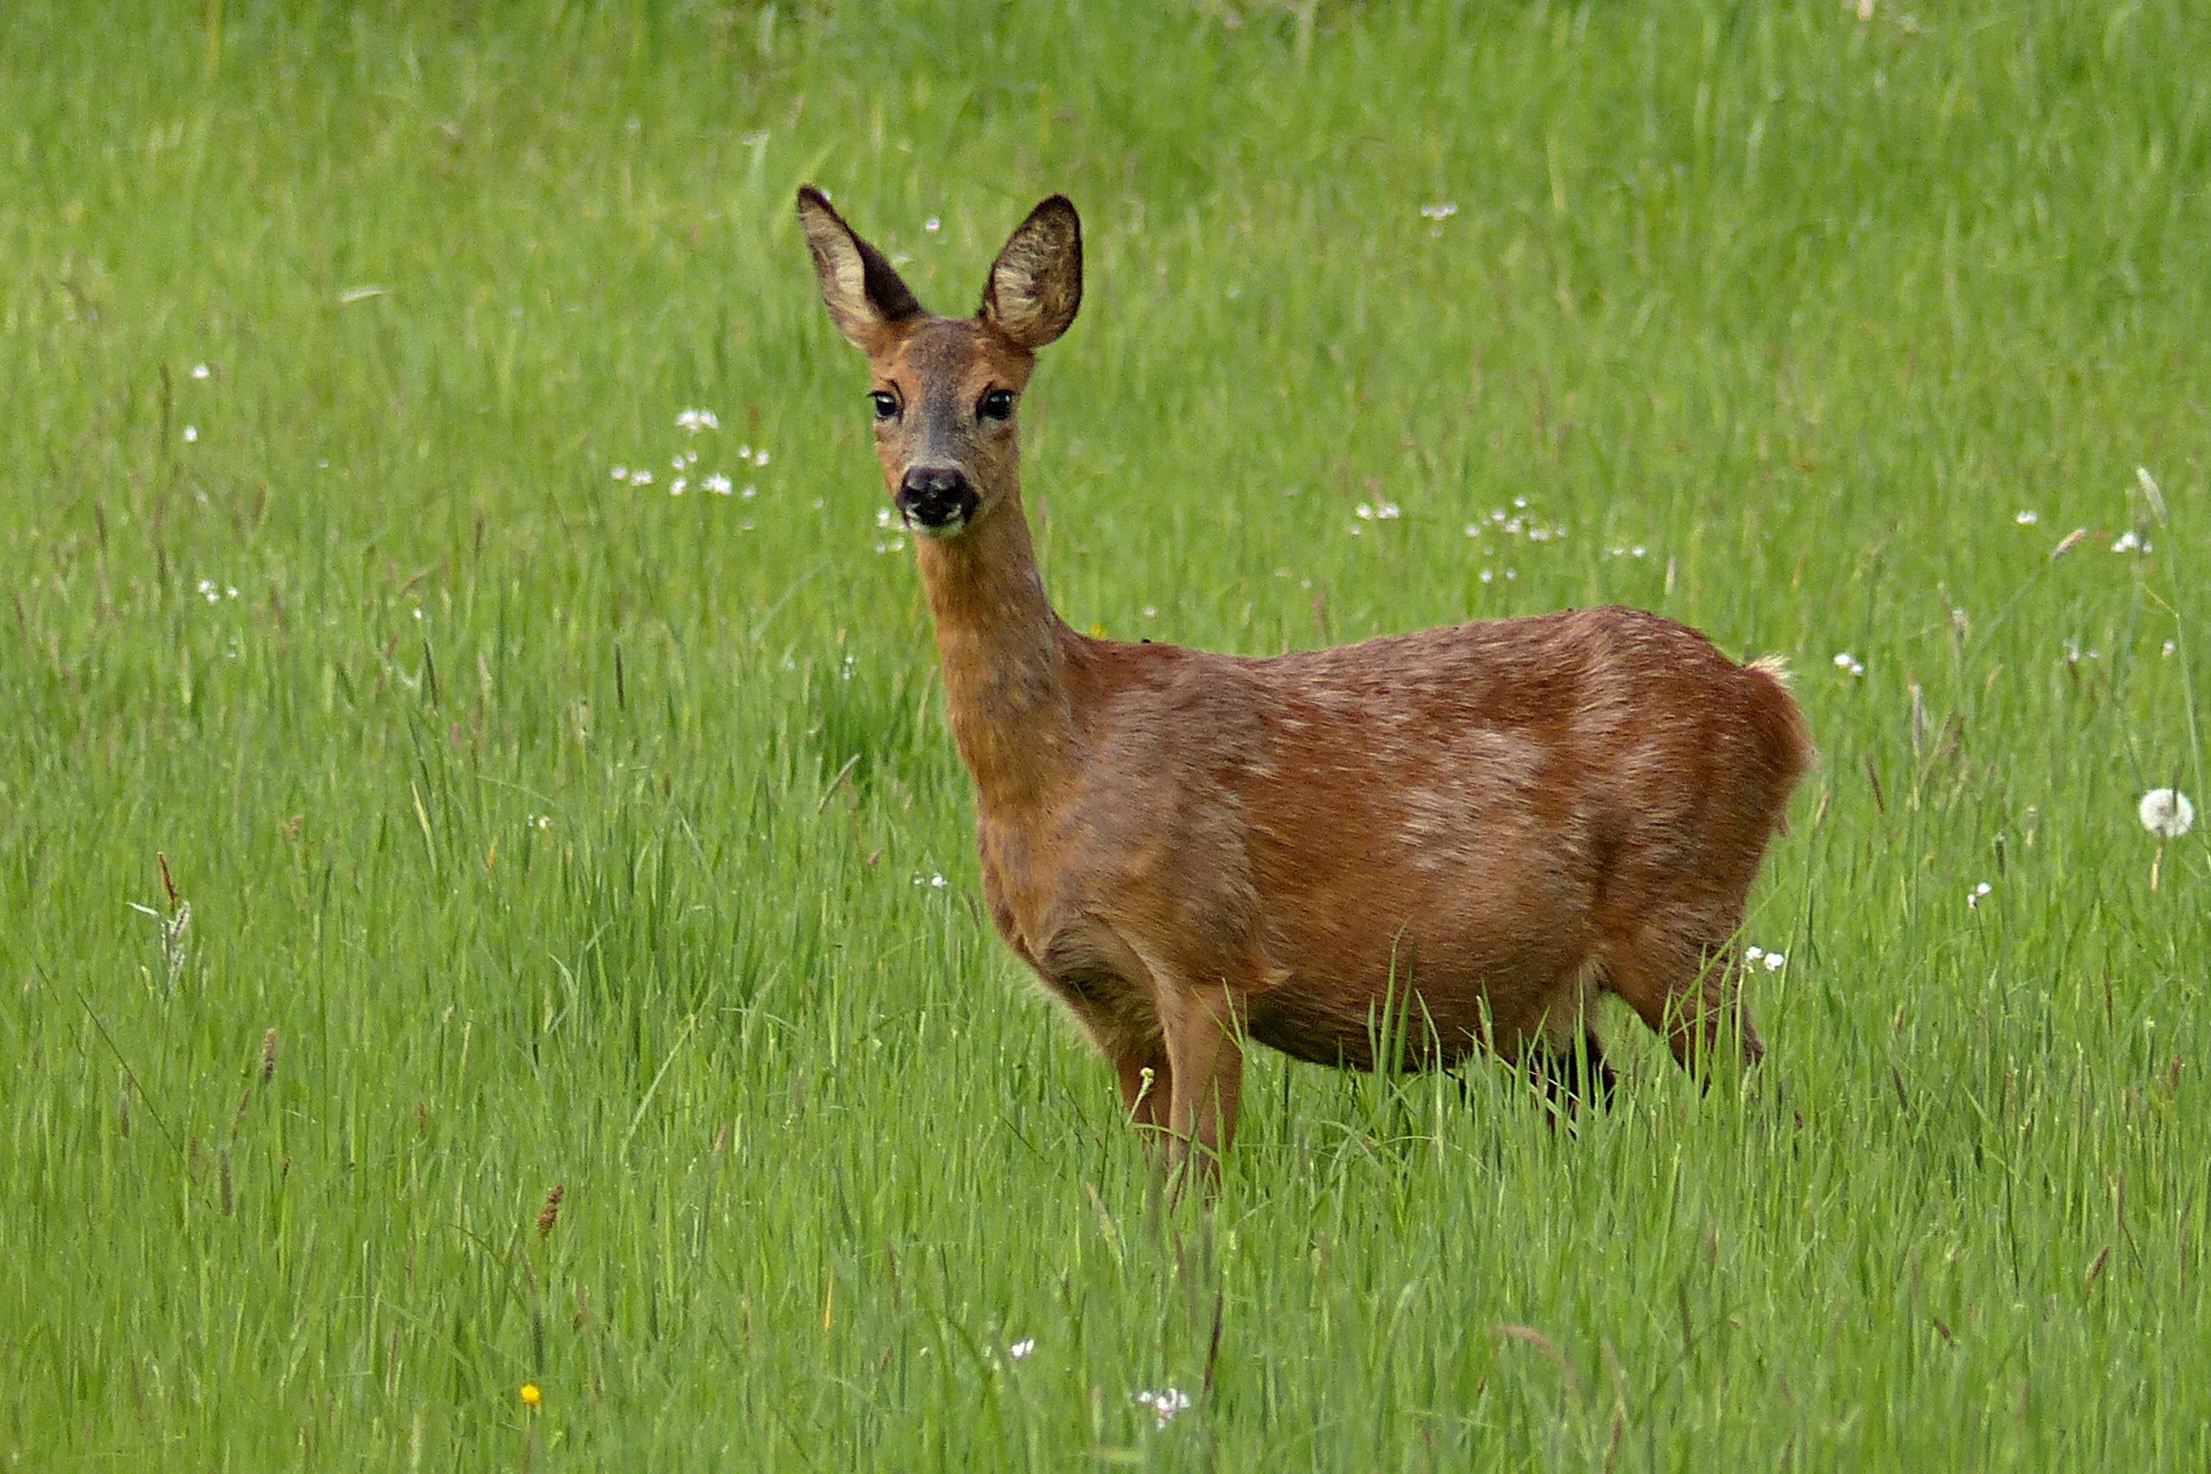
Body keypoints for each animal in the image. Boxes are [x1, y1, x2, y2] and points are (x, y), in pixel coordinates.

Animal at [795, 184, 1813, 1184]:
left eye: (996, 397)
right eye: (884, 397)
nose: (933, 487)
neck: (1059, 762)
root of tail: (1773, 700)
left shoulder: (1203, 956)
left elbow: (1199, 1176)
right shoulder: (1103, 998)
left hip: (1679, 907)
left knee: (1766, 1105)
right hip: (1547, 999)